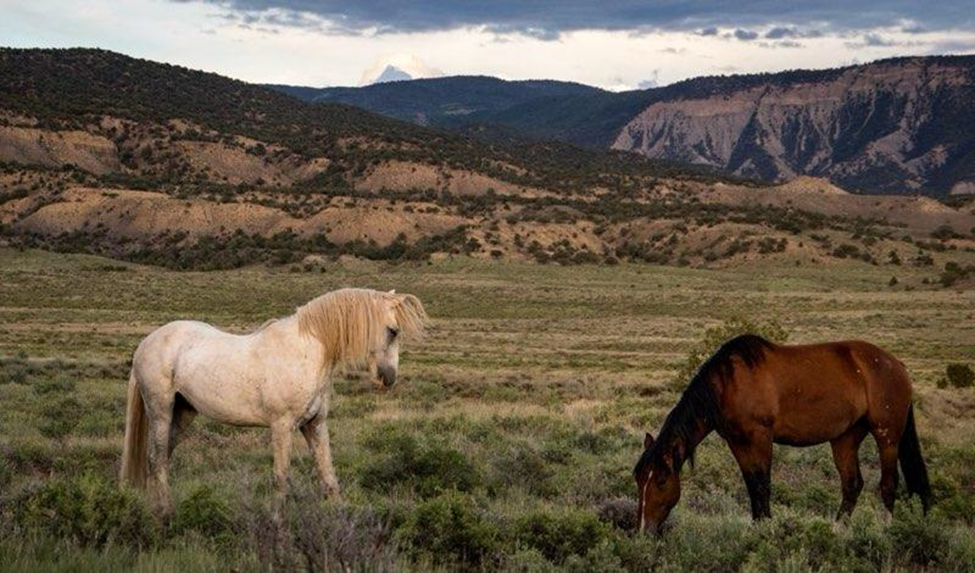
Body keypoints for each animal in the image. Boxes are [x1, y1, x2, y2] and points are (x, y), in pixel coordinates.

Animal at [122, 286, 428, 512]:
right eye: (393, 330)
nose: (389, 378)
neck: (305, 352)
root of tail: (145, 343)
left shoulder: (315, 425)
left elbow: (329, 479)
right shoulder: (282, 427)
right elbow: (281, 479)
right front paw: (277, 528)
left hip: (184, 413)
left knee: (160, 458)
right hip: (161, 411)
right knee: (156, 458)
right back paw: (166, 513)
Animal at [636, 336, 936, 532]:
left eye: (661, 480)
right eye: (638, 479)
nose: (643, 530)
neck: (728, 384)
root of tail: (896, 364)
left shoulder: (760, 437)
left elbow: (762, 484)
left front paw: (766, 528)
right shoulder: (738, 442)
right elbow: (752, 484)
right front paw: (758, 526)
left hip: (887, 435)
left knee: (888, 484)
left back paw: (887, 529)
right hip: (846, 437)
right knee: (852, 484)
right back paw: (838, 530)